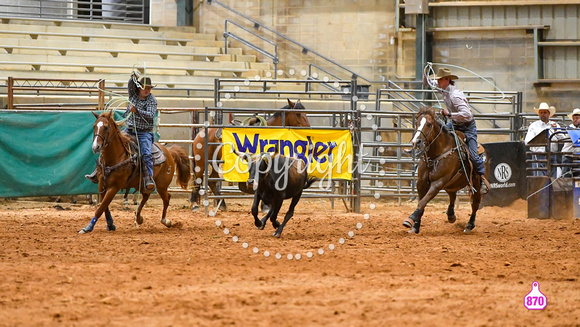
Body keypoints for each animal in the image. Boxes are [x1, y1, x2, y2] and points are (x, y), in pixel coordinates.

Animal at [404, 106, 490, 234]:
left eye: (429, 124)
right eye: (417, 123)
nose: (416, 142)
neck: (436, 154)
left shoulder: (438, 183)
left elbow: (422, 202)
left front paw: (410, 219)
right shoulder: (421, 183)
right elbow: (422, 202)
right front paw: (415, 226)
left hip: (475, 184)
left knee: (475, 203)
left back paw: (469, 225)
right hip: (452, 183)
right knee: (452, 195)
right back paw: (451, 215)